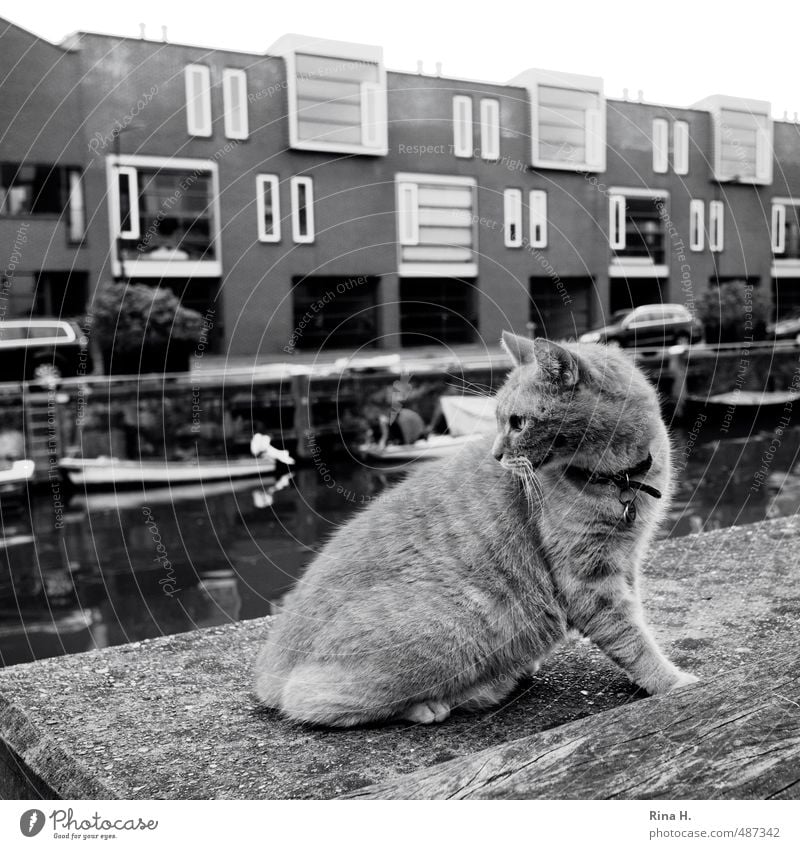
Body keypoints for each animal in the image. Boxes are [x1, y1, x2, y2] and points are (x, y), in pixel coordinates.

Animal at [253, 334, 696, 724]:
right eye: (500, 421)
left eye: (518, 422)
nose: (497, 454)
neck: (620, 479)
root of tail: (270, 668)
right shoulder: (589, 579)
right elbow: (631, 639)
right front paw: (671, 682)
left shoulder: (626, 560)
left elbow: (636, 622)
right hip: (460, 623)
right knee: (311, 702)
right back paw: (445, 701)